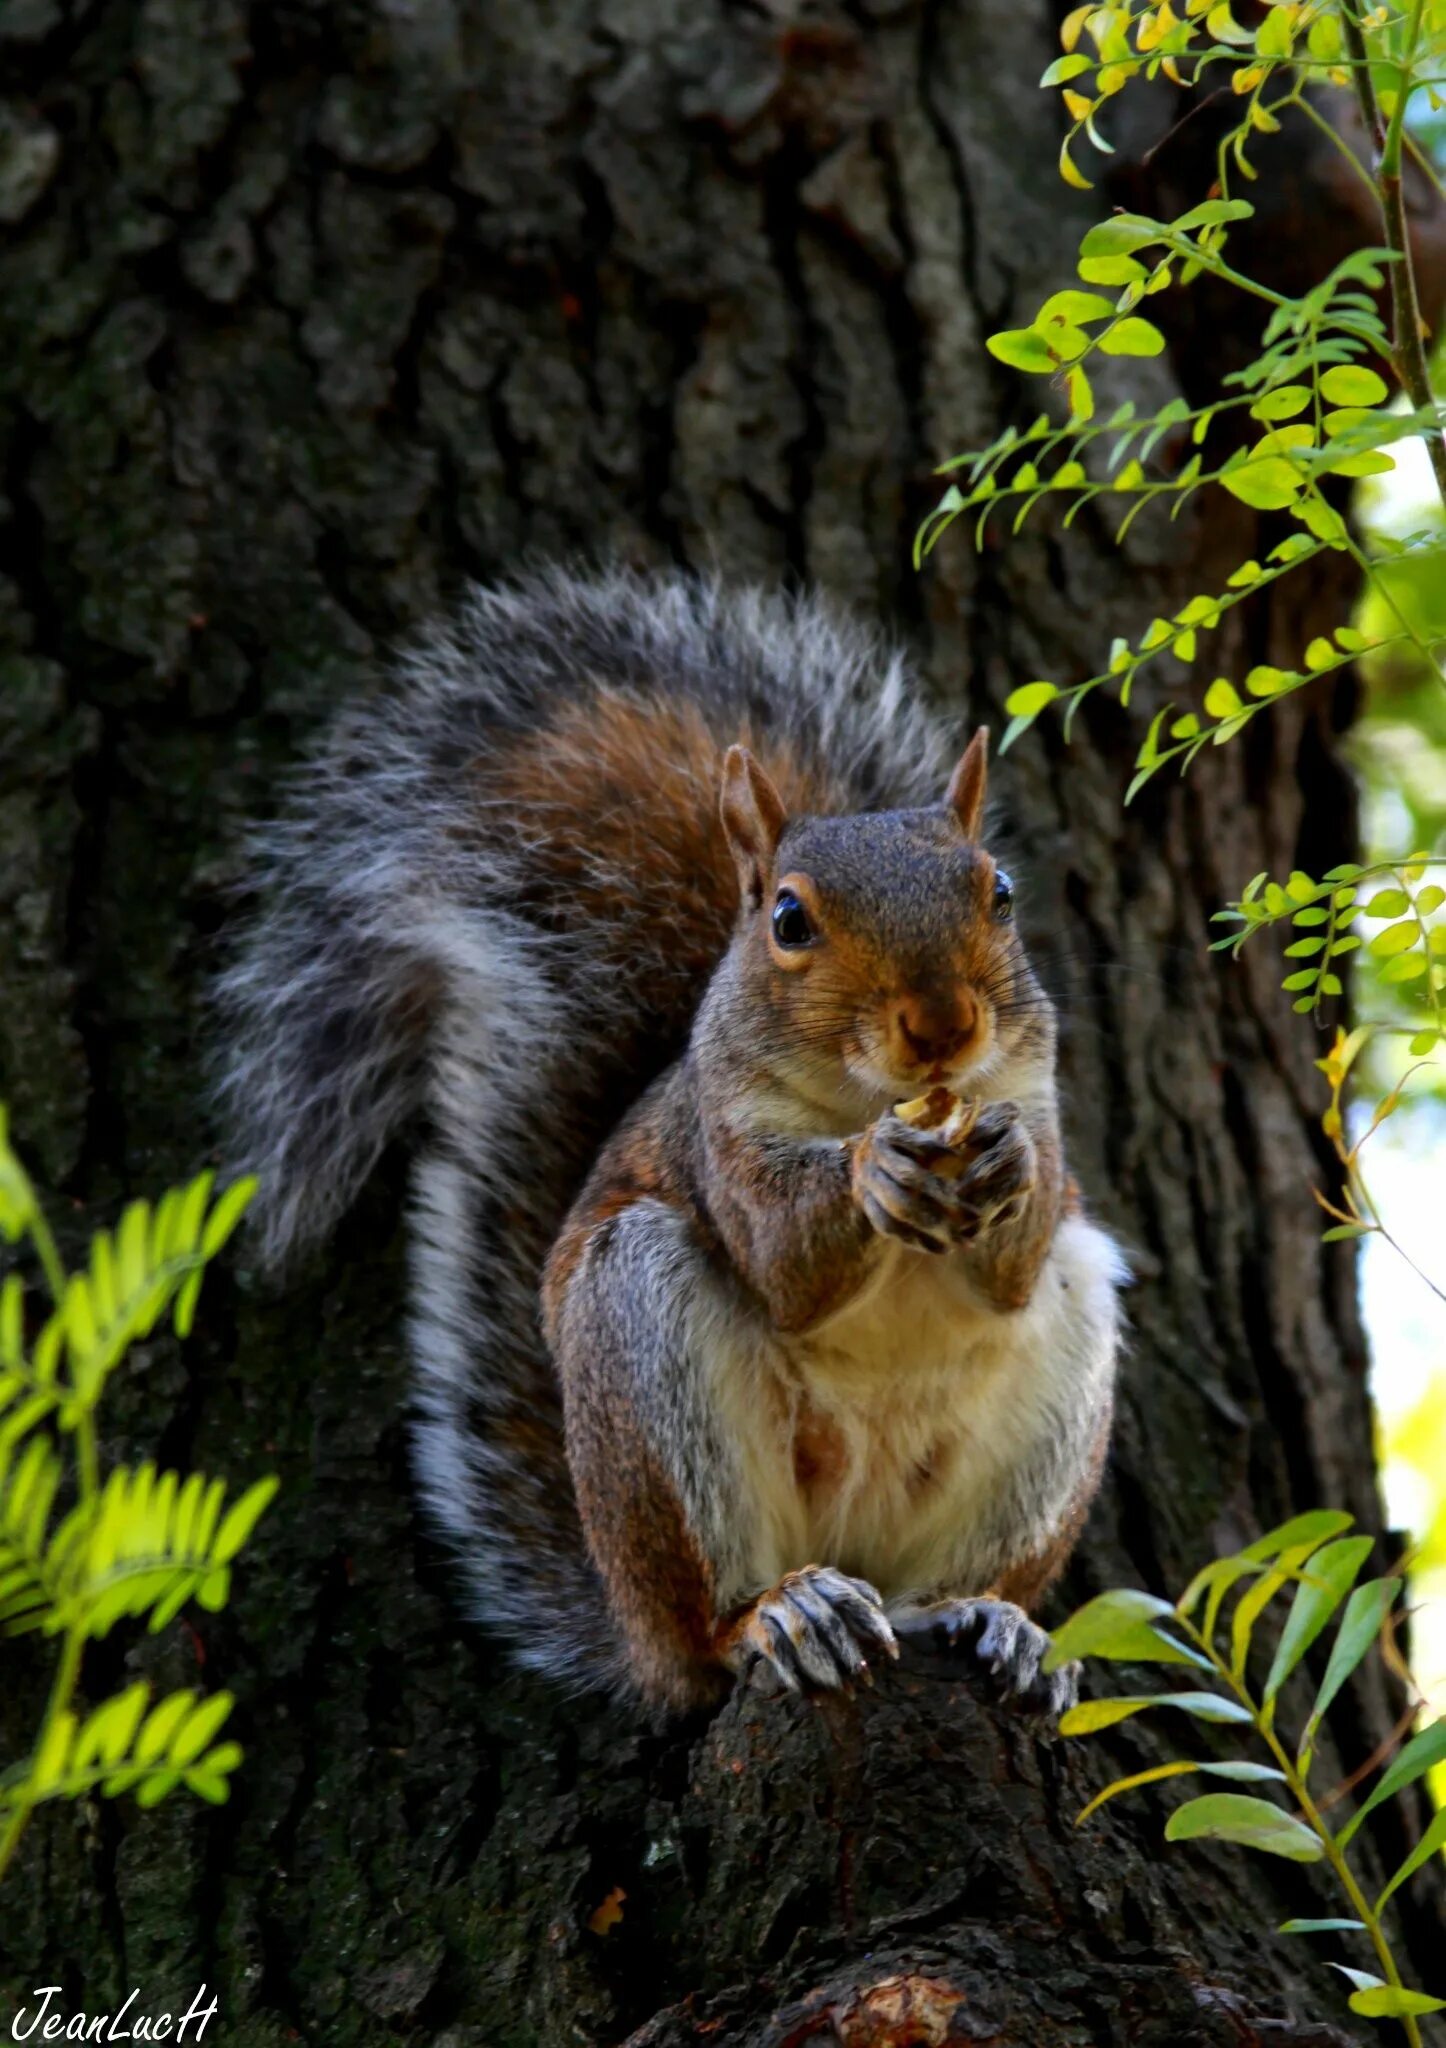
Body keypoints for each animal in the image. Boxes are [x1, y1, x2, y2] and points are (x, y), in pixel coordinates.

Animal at [219, 561, 1130, 1712]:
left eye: (1000, 891)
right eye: (788, 920)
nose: (941, 1025)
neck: (864, 1100)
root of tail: (632, 1626)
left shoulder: (1030, 1098)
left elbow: (1014, 1256)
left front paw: (1007, 1164)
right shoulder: (716, 1139)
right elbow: (783, 1257)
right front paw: (872, 1172)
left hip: (1059, 1381)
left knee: (948, 1571)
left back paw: (991, 1619)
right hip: (642, 1340)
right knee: (709, 1628)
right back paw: (783, 1615)